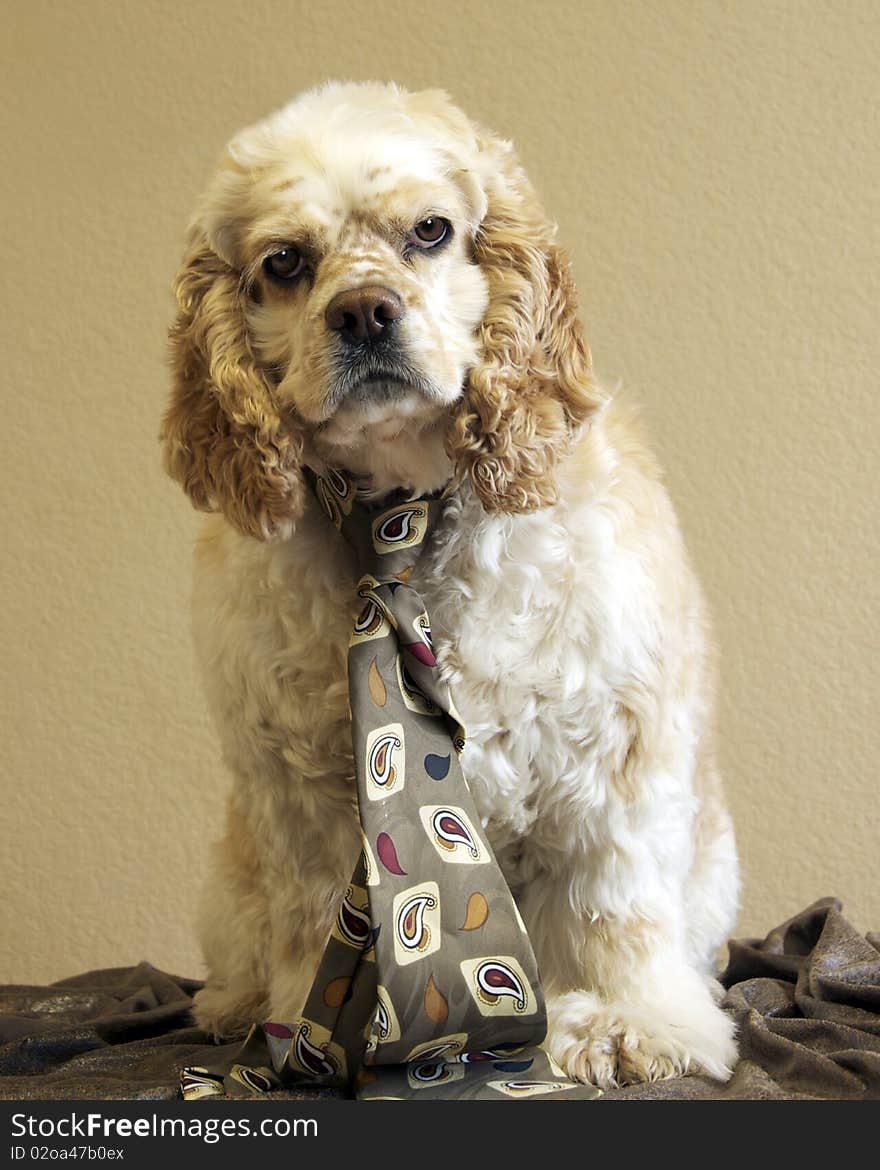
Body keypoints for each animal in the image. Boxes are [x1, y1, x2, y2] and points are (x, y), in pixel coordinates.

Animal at [161, 82, 739, 1085]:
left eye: (430, 230)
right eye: (284, 261)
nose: (362, 311)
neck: (402, 519)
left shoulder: (615, 747)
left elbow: (615, 903)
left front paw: (628, 1023)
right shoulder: (294, 784)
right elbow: (310, 924)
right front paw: (307, 1034)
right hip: (226, 883)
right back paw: (231, 1005)